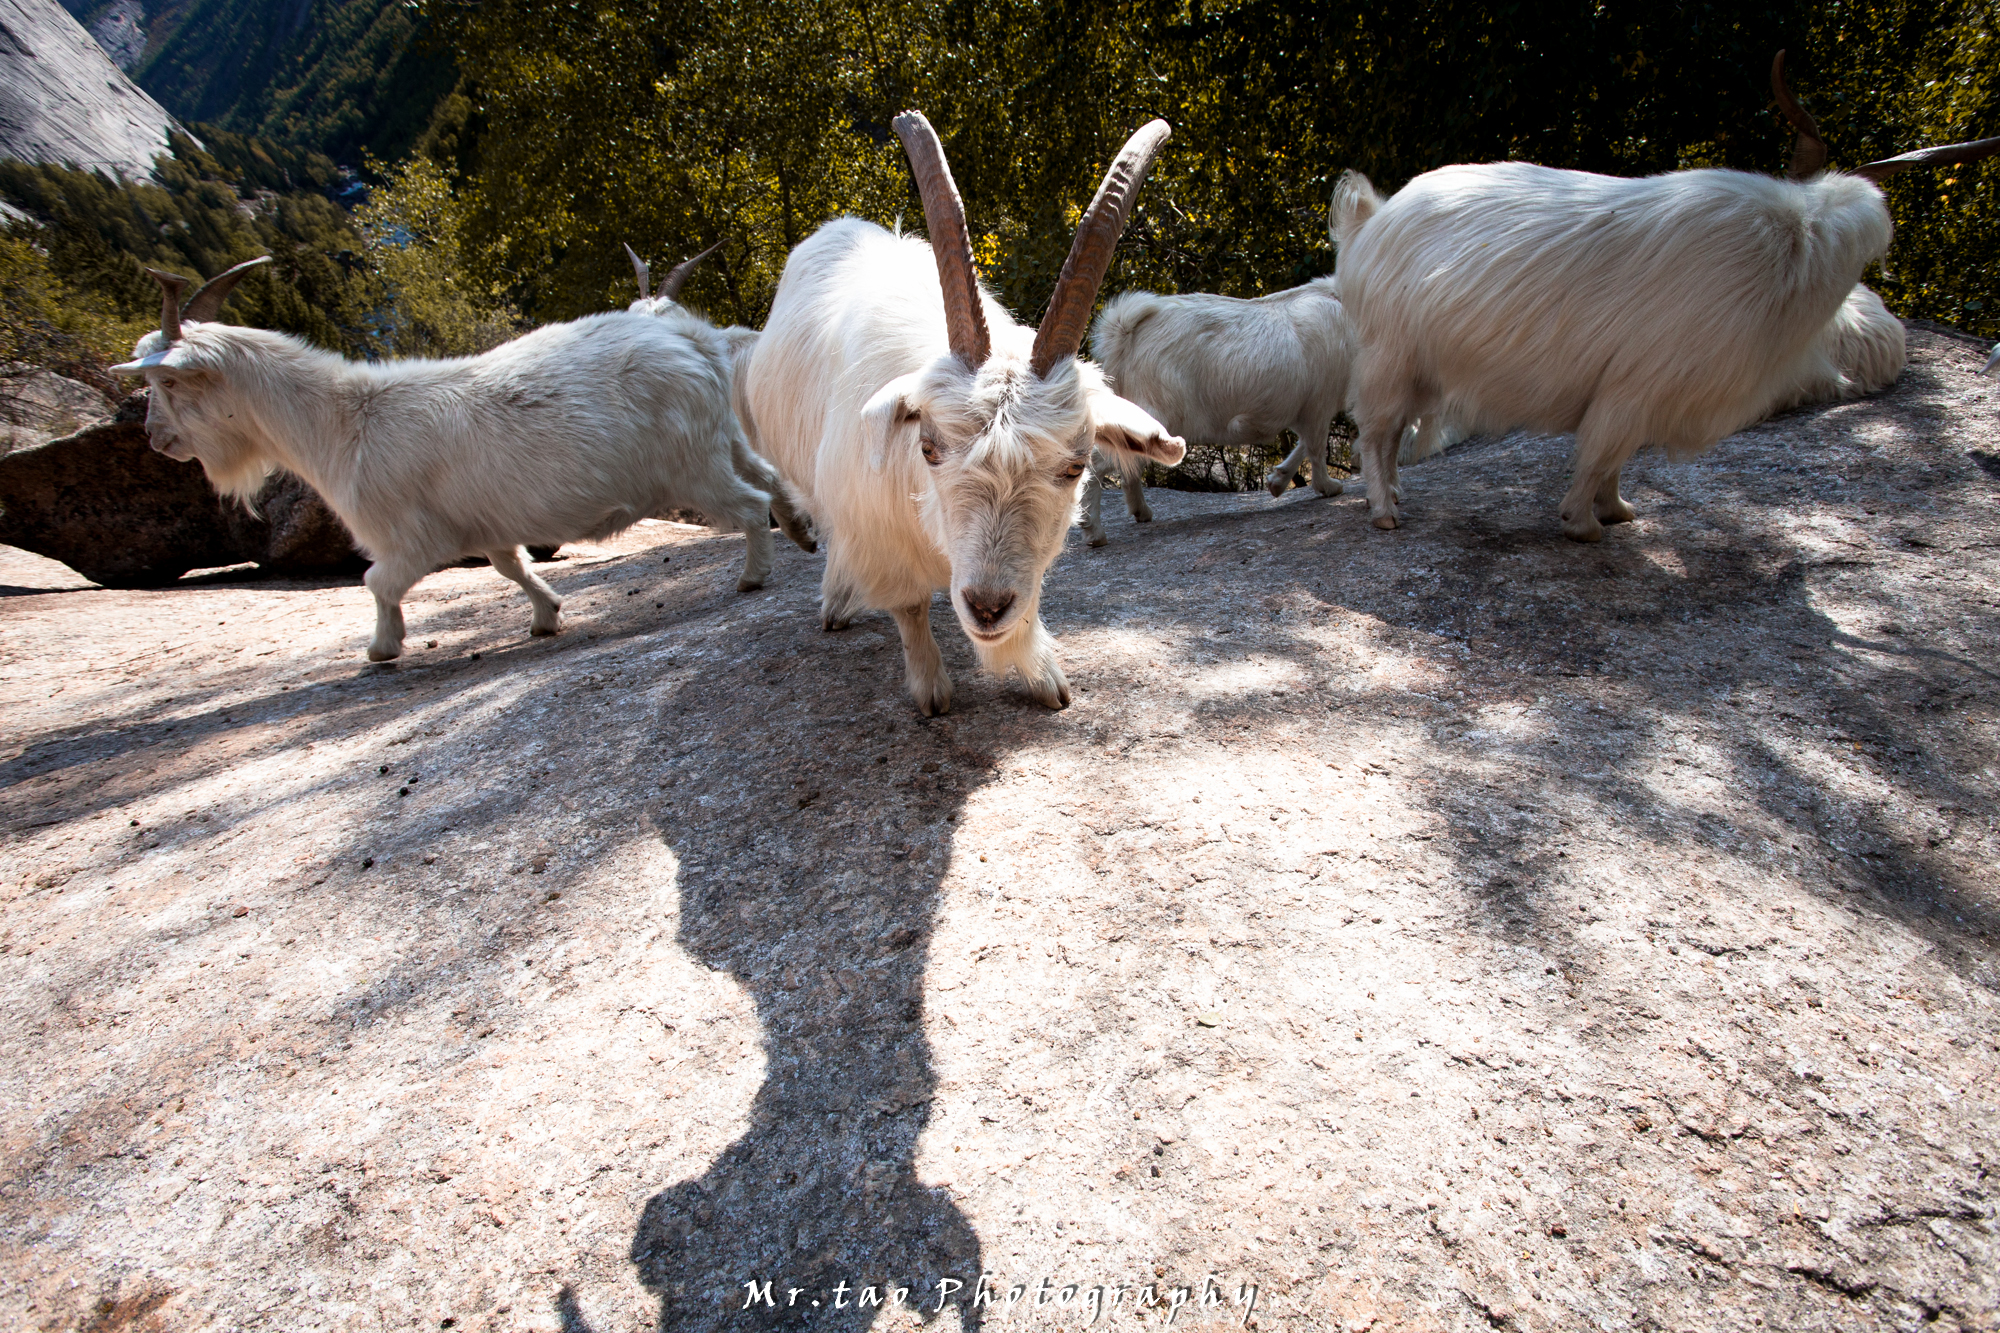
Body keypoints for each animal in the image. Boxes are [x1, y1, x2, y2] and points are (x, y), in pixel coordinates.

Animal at [113, 253, 804, 660]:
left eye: (167, 381)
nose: (155, 440)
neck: (344, 422)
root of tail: (691, 339)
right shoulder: (485, 524)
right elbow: (509, 567)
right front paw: (547, 616)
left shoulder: (413, 538)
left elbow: (376, 581)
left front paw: (382, 648)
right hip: (720, 438)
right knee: (768, 476)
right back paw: (801, 535)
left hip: (692, 467)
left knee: (749, 502)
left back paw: (753, 575)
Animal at [748, 115, 1184, 716]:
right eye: (928, 449)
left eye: (1074, 467)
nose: (985, 606)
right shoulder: (881, 536)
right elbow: (909, 608)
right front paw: (931, 691)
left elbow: (1029, 604)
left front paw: (1044, 675)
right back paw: (837, 600)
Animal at [1328, 52, 2000, 540]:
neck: (1788, 252)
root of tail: (1373, 219)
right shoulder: (1636, 385)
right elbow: (1602, 450)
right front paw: (1583, 525)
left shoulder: (1642, 393)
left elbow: (1618, 459)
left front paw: (1617, 510)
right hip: (1391, 358)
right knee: (1374, 434)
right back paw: (1385, 512)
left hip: (1421, 370)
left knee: (1390, 437)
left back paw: (1397, 495)